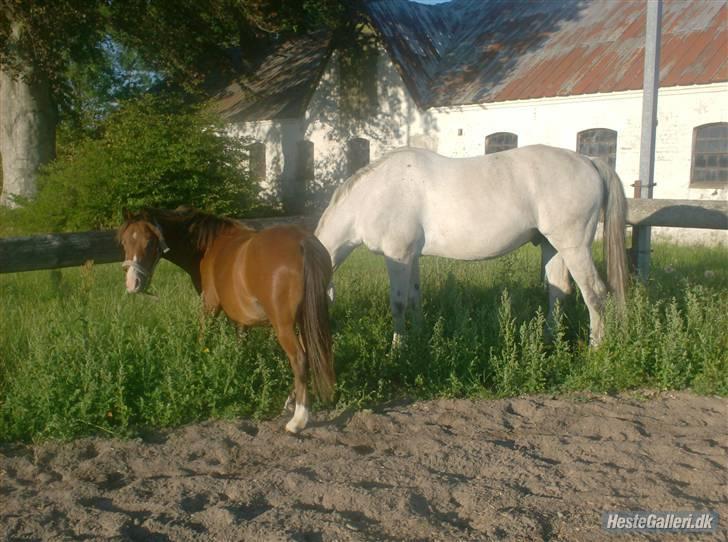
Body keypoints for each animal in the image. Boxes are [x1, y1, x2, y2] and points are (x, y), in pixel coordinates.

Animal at [118, 207, 335, 433]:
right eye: (123, 242)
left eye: (150, 241)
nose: (133, 283)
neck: (210, 246)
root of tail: (303, 241)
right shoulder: (242, 320)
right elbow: (241, 349)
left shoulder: (210, 306)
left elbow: (204, 338)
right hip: (307, 319)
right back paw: (291, 402)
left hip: (284, 326)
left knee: (299, 359)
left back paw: (298, 419)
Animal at [315, 145, 628, 346]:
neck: (375, 194)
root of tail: (588, 160)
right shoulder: (411, 258)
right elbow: (415, 298)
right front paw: (419, 339)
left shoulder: (398, 255)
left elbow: (399, 303)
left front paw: (397, 349)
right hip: (553, 246)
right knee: (558, 292)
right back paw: (548, 342)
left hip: (574, 247)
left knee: (595, 294)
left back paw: (595, 349)